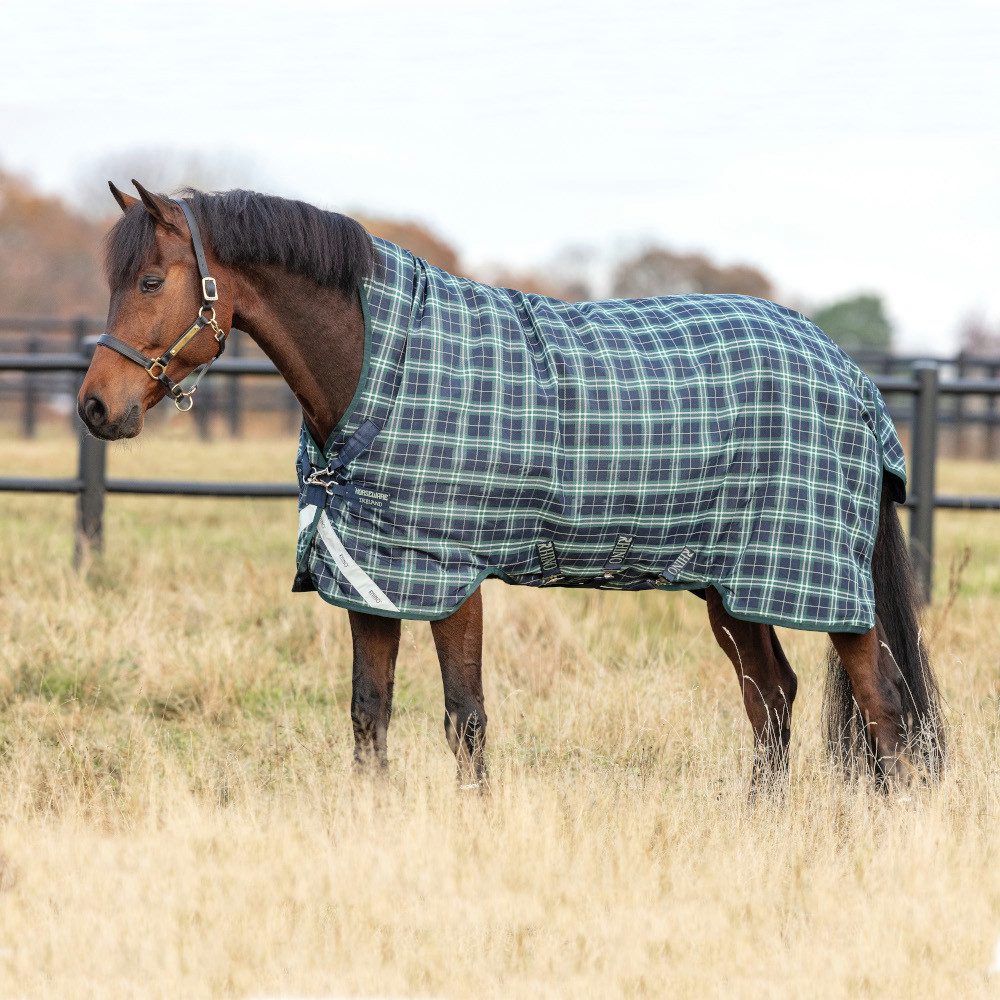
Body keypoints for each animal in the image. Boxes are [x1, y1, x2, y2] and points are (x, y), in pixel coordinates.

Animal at [78, 180, 945, 794]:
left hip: (819, 581)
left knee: (883, 704)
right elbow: (369, 713)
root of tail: (854, 379)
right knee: (772, 699)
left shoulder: (450, 575)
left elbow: (465, 717)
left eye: (151, 280)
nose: (95, 407)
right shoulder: (373, 577)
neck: (381, 366)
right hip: (732, 583)